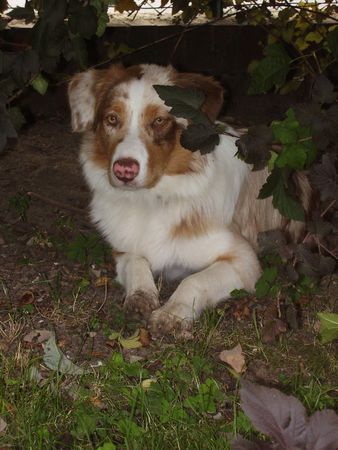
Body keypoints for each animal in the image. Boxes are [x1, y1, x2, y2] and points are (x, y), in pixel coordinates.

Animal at [68, 65, 308, 336]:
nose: (124, 170)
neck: (152, 200)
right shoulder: (122, 249)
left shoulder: (244, 259)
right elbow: (136, 261)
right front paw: (140, 294)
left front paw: (172, 312)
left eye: (159, 121)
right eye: (111, 119)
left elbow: (194, 279)